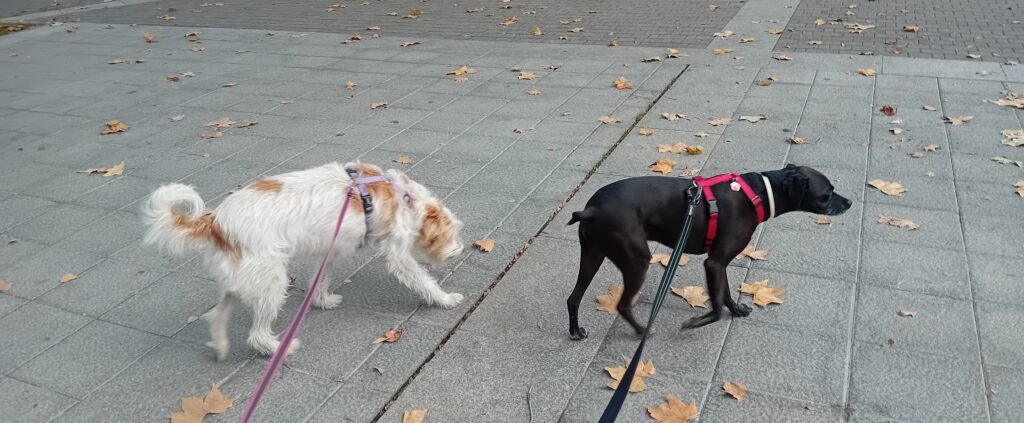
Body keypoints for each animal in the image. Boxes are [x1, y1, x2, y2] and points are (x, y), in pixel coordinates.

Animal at [141, 162, 465, 360]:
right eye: (452, 232)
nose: (460, 250)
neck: (404, 197)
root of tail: (217, 223)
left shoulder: (330, 250)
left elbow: (320, 278)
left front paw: (321, 300)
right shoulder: (399, 255)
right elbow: (422, 279)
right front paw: (445, 299)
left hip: (242, 280)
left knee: (219, 314)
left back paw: (220, 346)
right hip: (271, 281)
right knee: (256, 334)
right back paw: (277, 348)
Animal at [565, 165, 852, 339]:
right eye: (827, 194)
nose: (849, 202)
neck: (758, 194)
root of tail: (591, 210)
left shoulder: (719, 265)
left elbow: (725, 296)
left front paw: (737, 310)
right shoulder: (714, 263)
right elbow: (717, 307)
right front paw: (695, 322)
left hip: (592, 256)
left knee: (573, 298)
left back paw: (576, 331)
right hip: (637, 261)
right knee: (623, 305)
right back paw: (642, 330)